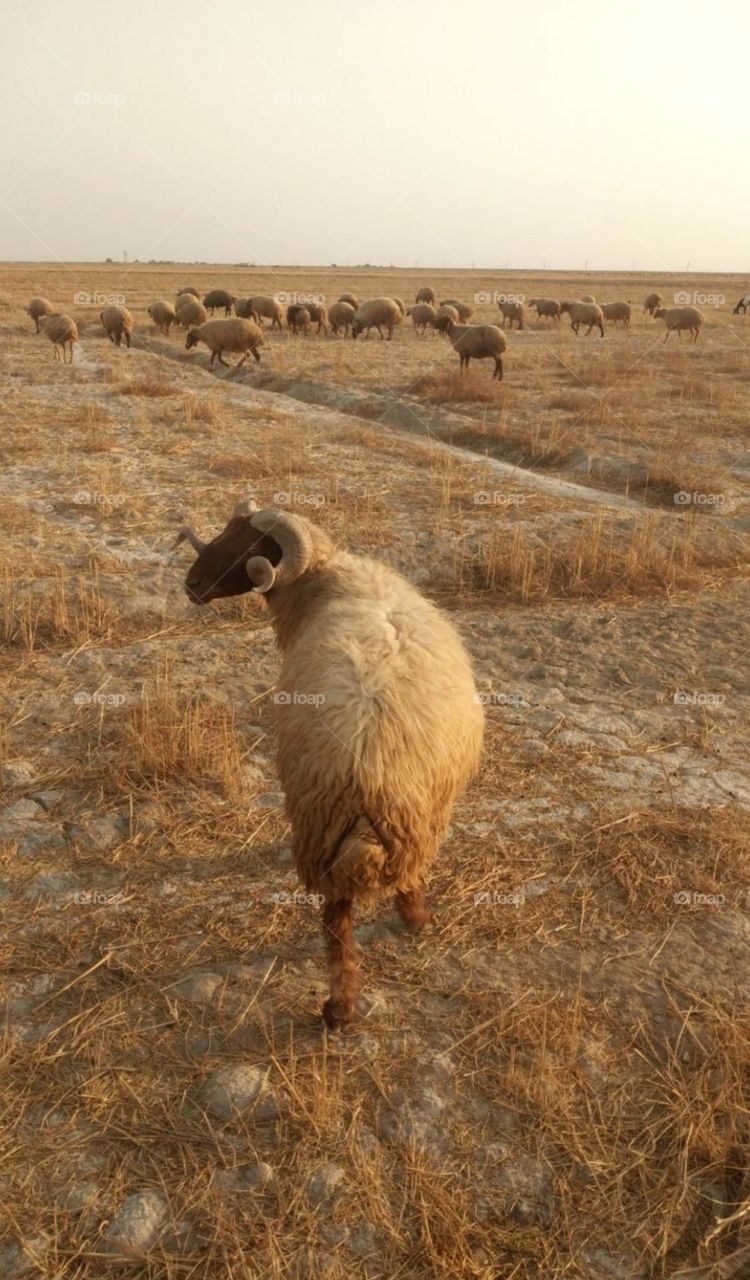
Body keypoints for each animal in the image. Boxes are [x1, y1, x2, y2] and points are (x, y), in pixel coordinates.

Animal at [176, 500, 484, 1029]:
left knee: (336, 921)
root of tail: (370, 774)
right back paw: (413, 923)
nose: (191, 585)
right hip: (407, 820)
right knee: (402, 874)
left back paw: (341, 1008)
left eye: (250, 546)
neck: (326, 577)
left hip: (325, 826)